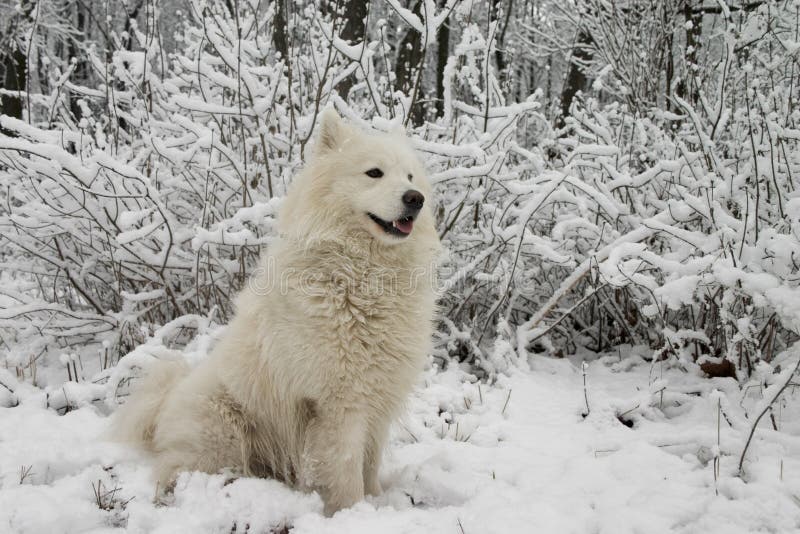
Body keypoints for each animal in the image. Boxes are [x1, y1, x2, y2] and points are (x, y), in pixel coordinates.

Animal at [112, 108, 440, 516]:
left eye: (410, 177)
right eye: (374, 173)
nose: (416, 199)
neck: (362, 279)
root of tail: (163, 406)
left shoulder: (378, 398)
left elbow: (370, 464)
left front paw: (378, 502)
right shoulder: (339, 405)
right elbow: (347, 471)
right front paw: (351, 513)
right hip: (224, 431)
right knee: (172, 471)